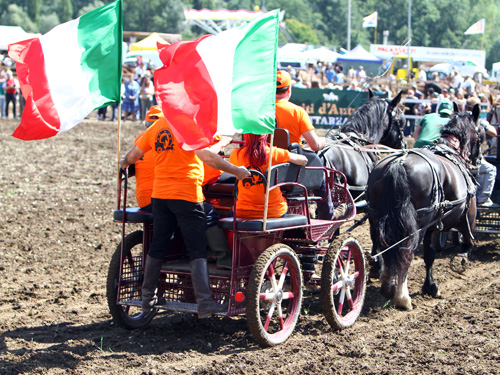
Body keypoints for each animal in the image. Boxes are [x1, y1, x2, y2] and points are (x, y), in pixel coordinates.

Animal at [368, 104, 480, 310]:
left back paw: (387, 286)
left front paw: (430, 286)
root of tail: (399, 163)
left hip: (376, 218)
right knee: (406, 251)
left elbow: (429, 254)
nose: (477, 161)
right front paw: (460, 260)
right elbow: (468, 242)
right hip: (416, 224)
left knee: (385, 248)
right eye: (479, 134)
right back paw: (402, 297)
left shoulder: (432, 226)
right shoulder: (467, 215)